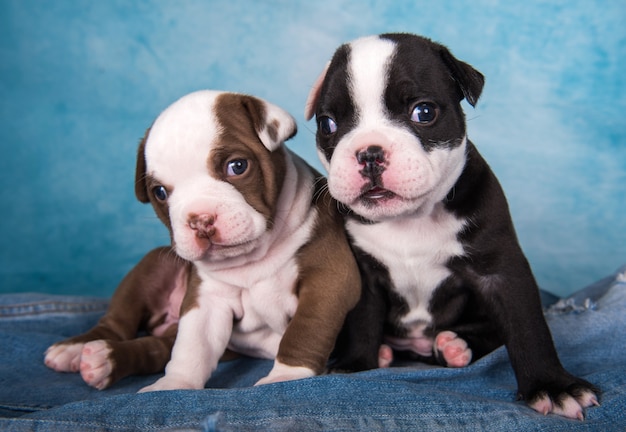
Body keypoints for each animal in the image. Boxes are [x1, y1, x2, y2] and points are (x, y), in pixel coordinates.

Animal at [133, 89, 360, 390]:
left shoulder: (329, 279)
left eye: (237, 166)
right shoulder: (208, 298)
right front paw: (175, 383)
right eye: (159, 192)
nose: (200, 220)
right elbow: (192, 344)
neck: (254, 257)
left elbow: (305, 328)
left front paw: (286, 375)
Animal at [304, 34, 596, 422]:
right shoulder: (363, 273)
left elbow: (527, 328)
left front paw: (553, 386)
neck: (410, 219)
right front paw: (355, 364)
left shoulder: (502, 272)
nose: (369, 153)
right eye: (328, 125)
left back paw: (456, 345)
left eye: (424, 112)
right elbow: (363, 320)